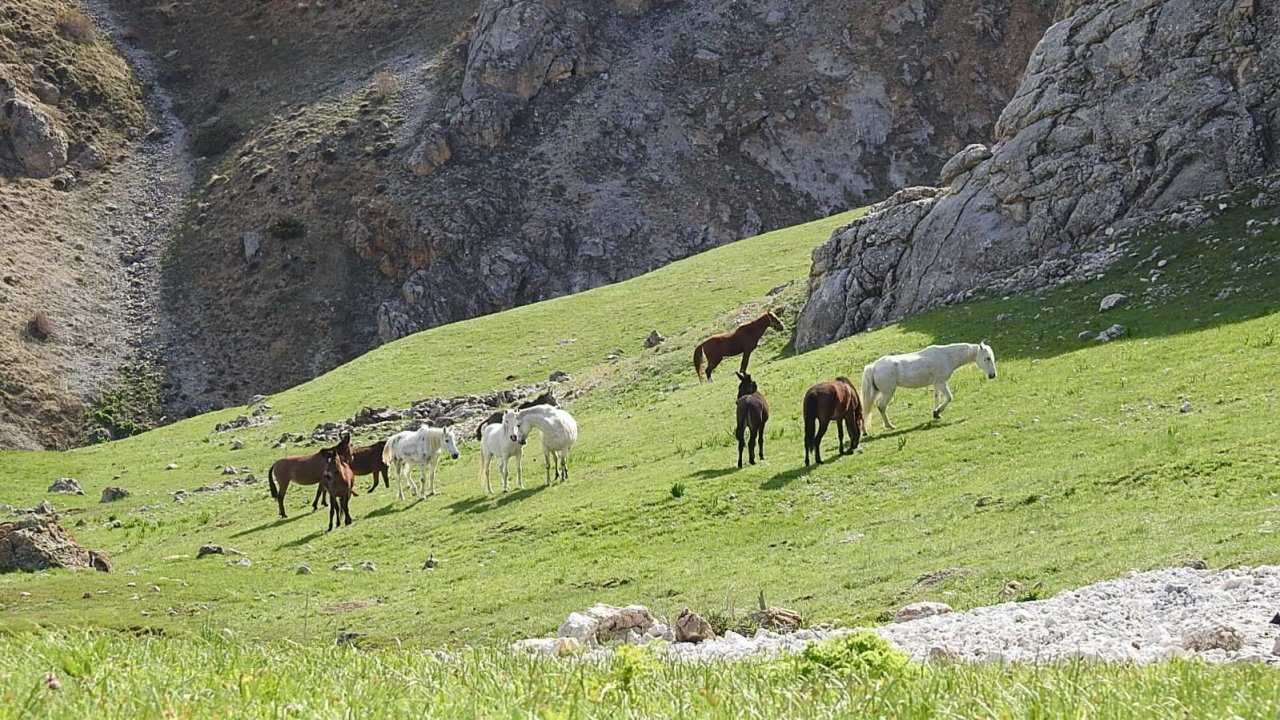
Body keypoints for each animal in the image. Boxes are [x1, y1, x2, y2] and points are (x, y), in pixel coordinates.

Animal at [860, 338, 998, 427]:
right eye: (987, 358)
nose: (992, 375)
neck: (946, 356)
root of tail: (874, 366)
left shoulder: (936, 384)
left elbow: (937, 398)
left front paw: (936, 414)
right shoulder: (941, 383)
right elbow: (949, 397)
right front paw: (937, 412)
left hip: (876, 393)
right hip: (888, 392)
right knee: (881, 407)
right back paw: (890, 426)